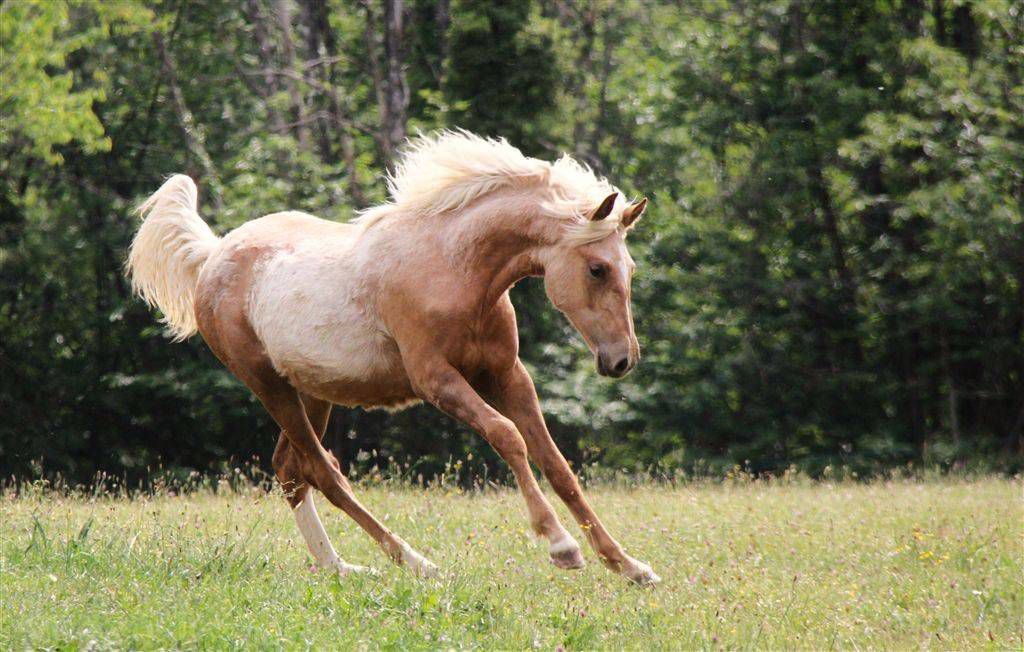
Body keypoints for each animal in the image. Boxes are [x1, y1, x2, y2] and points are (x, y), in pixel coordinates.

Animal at [126, 130, 659, 586]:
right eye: (597, 268)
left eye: (629, 267)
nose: (621, 361)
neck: (453, 268)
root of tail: (212, 256)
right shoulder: (436, 381)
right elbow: (508, 437)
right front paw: (561, 547)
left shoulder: (507, 375)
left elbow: (556, 464)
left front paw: (628, 565)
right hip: (268, 386)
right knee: (323, 471)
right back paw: (417, 563)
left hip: (312, 392)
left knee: (290, 470)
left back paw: (342, 568)